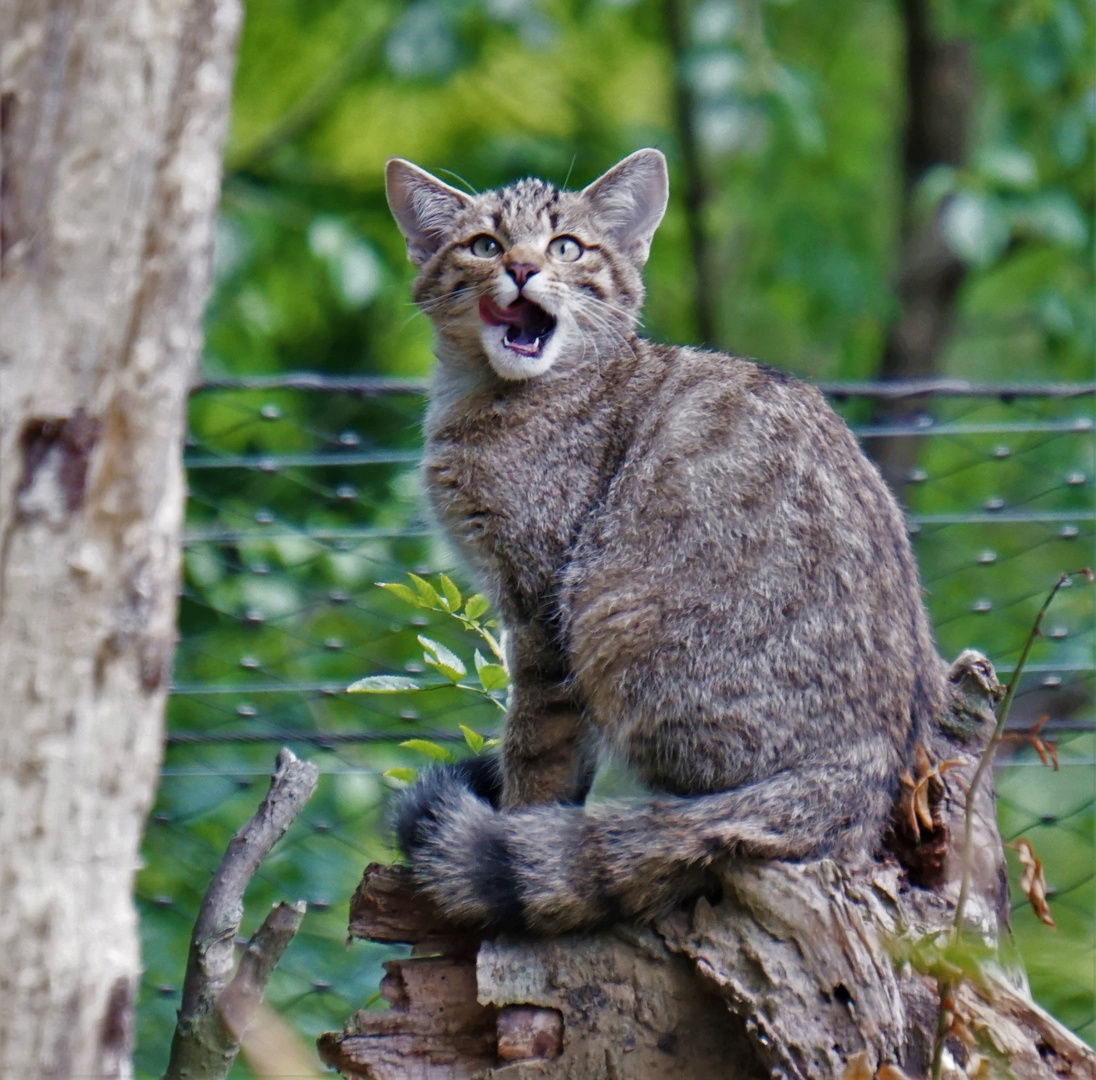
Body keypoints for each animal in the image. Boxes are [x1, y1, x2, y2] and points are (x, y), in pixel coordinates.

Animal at [381, 148, 946, 929]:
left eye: (566, 247)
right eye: (485, 245)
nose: (522, 267)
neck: (488, 395)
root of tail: (865, 768)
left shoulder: (541, 607)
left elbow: (537, 749)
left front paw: (519, 825)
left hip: (614, 623)